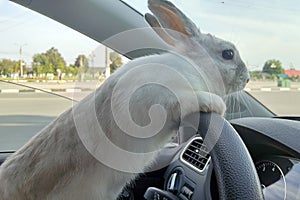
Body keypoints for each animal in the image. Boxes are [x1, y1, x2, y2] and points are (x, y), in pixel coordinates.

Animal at [0, 0, 248, 200]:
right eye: (228, 54)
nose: (246, 78)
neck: (197, 67)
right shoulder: (154, 98)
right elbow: (183, 101)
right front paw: (216, 104)